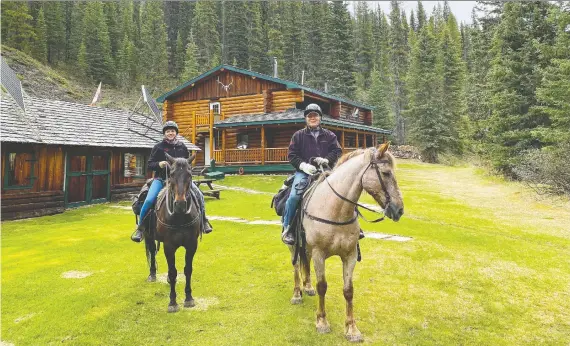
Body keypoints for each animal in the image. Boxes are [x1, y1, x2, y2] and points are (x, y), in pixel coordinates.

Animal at [142, 153, 202, 312]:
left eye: (189, 174)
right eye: (172, 174)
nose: (180, 204)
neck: (180, 216)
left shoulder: (191, 245)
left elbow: (188, 269)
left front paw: (189, 298)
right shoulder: (169, 246)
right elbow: (173, 271)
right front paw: (173, 302)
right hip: (148, 235)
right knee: (152, 251)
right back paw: (152, 274)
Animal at [286, 142, 402, 342]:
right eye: (386, 173)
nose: (400, 210)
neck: (335, 209)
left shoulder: (350, 255)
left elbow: (349, 290)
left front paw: (352, 329)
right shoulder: (319, 254)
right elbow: (323, 286)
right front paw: (322, 322)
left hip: (307, 246)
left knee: (304, 262)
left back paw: (307, 287)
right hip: (293, 244)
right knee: (295, 267)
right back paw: (297, 294)